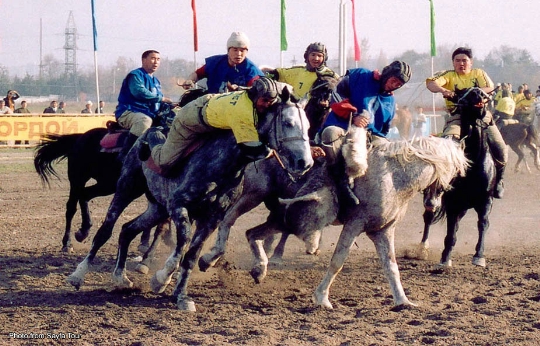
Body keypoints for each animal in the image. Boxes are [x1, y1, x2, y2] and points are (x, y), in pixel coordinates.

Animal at [420, 87, 496, 268]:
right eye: (464, 93)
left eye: (482, 91)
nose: (477, 94)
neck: (473, 165)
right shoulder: (453, 204)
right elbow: (451, 232)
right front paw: (444, 259)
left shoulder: (486, 200)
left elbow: (483, 223)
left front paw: (479, 256)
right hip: (433, 199)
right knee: (428, 216)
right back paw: (422, 249)